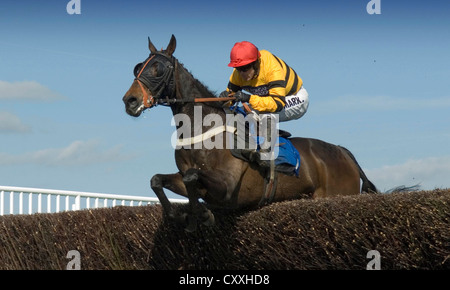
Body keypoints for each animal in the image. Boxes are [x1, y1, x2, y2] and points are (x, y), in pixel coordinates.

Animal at [122, 35, 376, 231]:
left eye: (158, 69)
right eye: (138, 67)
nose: (129, 100)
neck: (202, 129)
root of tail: (342, 152)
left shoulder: (226, 186)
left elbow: (191, 176)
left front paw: (202, 215)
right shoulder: (194, 183)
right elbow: (158, 180)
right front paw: (183, 216)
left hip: (338, 193)